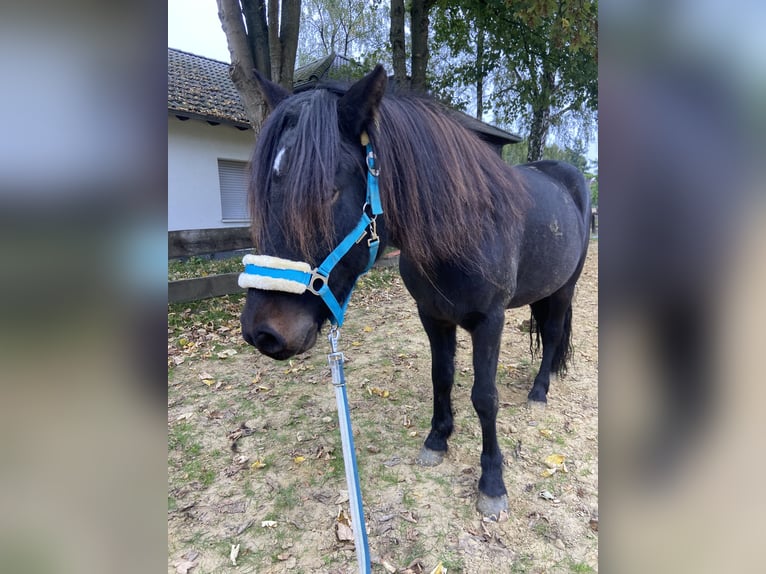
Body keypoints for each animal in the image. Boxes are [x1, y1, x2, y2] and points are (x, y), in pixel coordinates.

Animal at [240, 65, 592, 520]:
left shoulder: (490, 322)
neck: (463, 231)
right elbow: (441, 377)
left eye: (328, 191)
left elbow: (485, 397)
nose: (263, 332)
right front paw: (437, 440)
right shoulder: (433, 315)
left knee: (551, 336)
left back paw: (538, 391)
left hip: (565, 288)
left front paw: (492, 482)